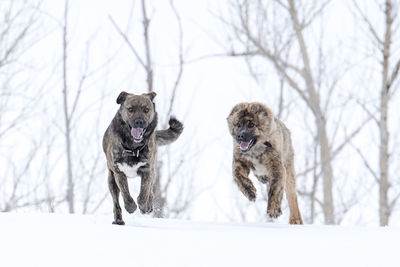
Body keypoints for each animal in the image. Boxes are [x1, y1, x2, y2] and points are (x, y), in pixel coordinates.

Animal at [104, 92, 184, 226]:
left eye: (146, 110)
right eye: (130, 109)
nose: (139, 122)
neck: (133, 147)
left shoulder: (147, 170)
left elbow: (144, 194)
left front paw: (144, 207)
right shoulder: (119, 172)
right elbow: (126, 194)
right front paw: (131, 207)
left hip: (152, 172)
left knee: (150, 192)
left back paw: (148, 206)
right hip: (111, 180)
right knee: (116, 203)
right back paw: (118, 220)